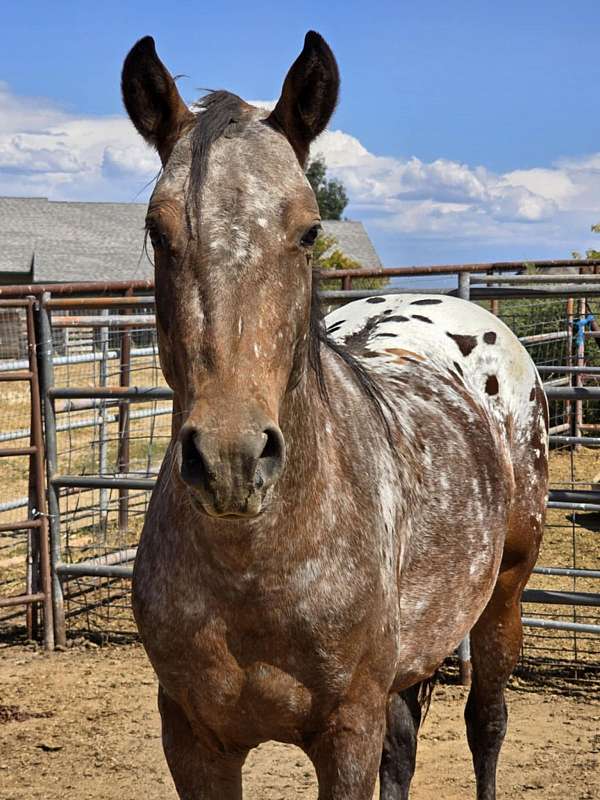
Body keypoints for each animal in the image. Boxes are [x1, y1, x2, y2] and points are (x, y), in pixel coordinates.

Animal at [122, 31, 548, 800]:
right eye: (158, 230)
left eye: (307, 230)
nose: (231, 461)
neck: (255, 568)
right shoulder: (194, 742)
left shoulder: (347, 733)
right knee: (405, 748)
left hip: (504, 596)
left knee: (487, 722)